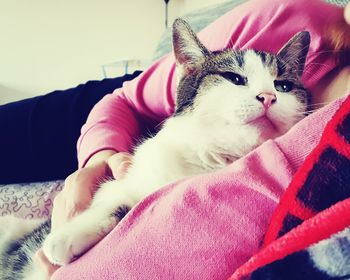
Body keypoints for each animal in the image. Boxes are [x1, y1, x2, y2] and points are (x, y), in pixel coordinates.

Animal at [0, 18, 310, 278]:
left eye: (283, 86)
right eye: (234, 78)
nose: (268, 97)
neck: (211, 156)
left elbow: (132, 204)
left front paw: (67, 238)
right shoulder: (132, 174)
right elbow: (117, 193)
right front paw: (70, 233)